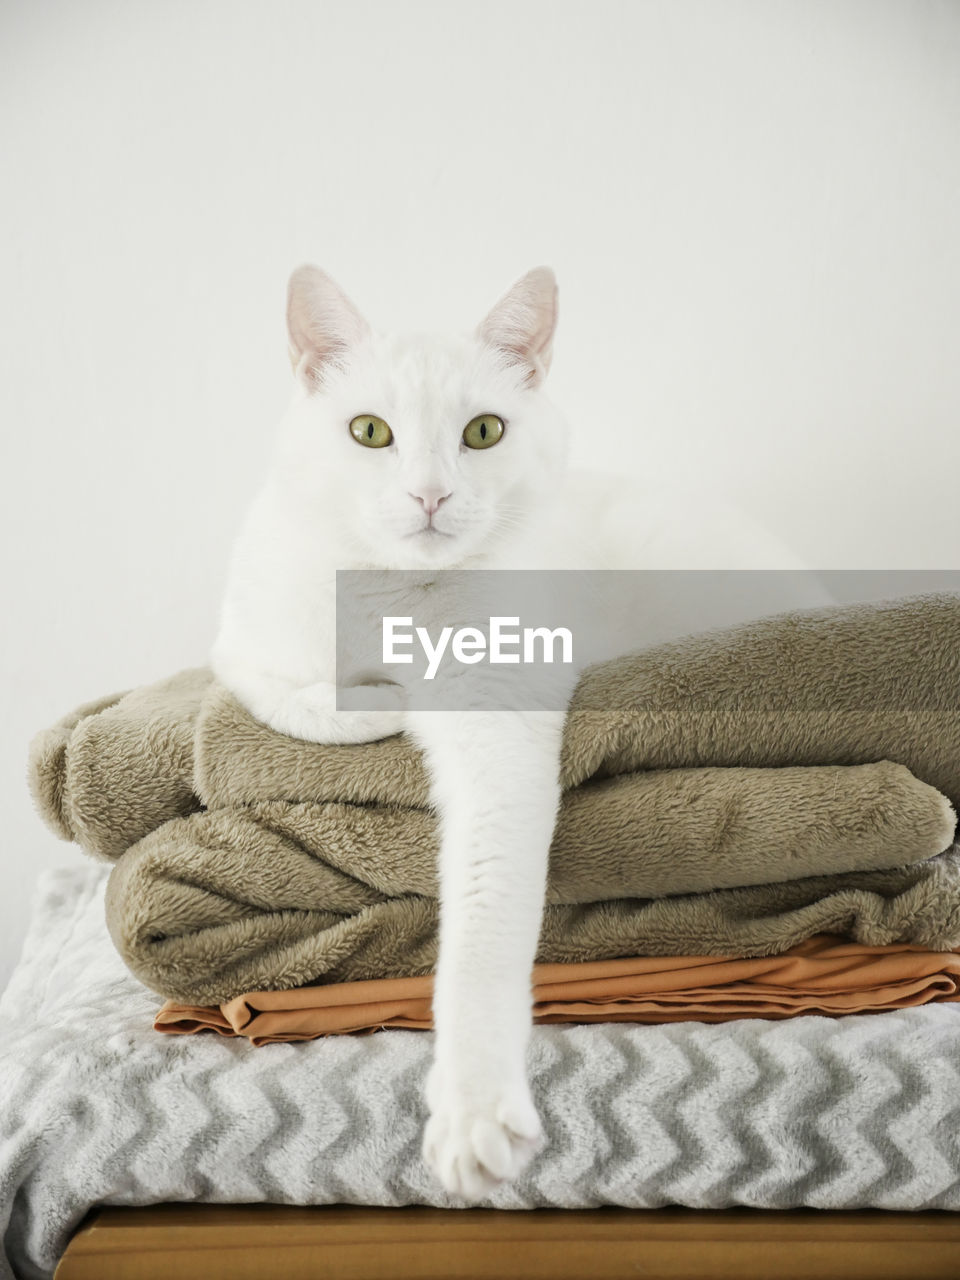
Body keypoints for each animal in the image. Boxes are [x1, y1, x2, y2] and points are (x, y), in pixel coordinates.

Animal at [212, 267, 829, 1198]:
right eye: (369, 431)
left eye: (483, 432)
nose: (431, 496)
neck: (397, 602)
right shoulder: (241, 645)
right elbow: (288, 694)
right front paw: (373, 698)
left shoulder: (499, 731)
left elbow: (483, 931)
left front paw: (472, 1114)